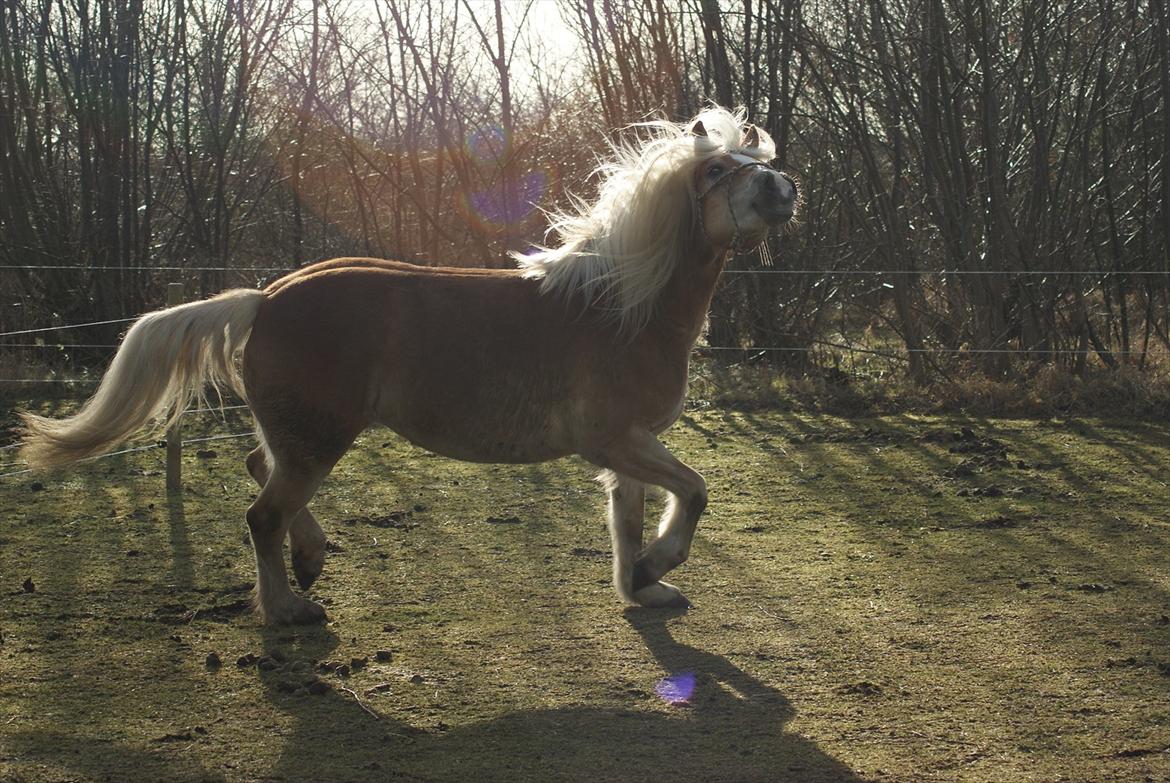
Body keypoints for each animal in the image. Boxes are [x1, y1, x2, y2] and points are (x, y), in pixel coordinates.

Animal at [22, 107, 800, 627]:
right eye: (718, 170)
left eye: (755, 161)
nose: (784, 188)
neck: (622, 307)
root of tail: (265, 299)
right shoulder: (613, 438)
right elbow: (694, 493)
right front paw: (655, 570)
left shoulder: (627, 447)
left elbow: (631, 522)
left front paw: (642, 584)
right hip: (320, 439)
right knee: (262, 513)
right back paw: (286, 607)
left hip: (302, 435)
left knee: (257, 467)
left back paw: (310, 560)